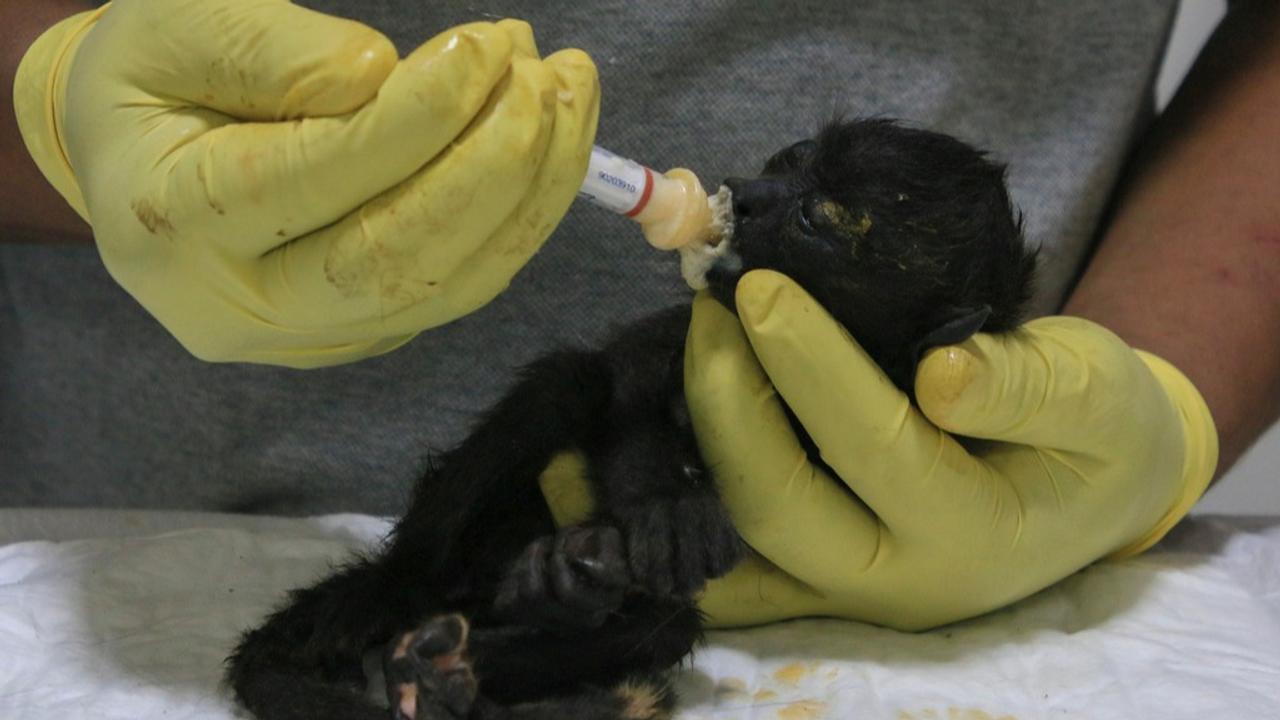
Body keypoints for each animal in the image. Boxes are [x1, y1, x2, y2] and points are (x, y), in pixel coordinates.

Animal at [225, 119, 1034, 717]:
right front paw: (670, 503)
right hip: (442, 549)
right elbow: (626, 386)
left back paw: (513, 629)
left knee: (661, 624)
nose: (746, 192)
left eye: (814, 218)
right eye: (790, 158)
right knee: (563, 385)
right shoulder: (693, 324)